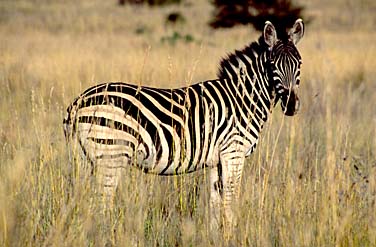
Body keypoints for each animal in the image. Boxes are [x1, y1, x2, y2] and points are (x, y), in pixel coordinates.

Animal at [63, 19, 306, 230]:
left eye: (299, 64)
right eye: (273, 65)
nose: (291, 106)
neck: (243, 99)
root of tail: (78, 103)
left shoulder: (216, 160)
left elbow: (215, 202)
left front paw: (215, 236)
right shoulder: (233, 152)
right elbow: (230, 199)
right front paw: (233, 233)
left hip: (85, 160)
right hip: (111, 155)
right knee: (101, 205)